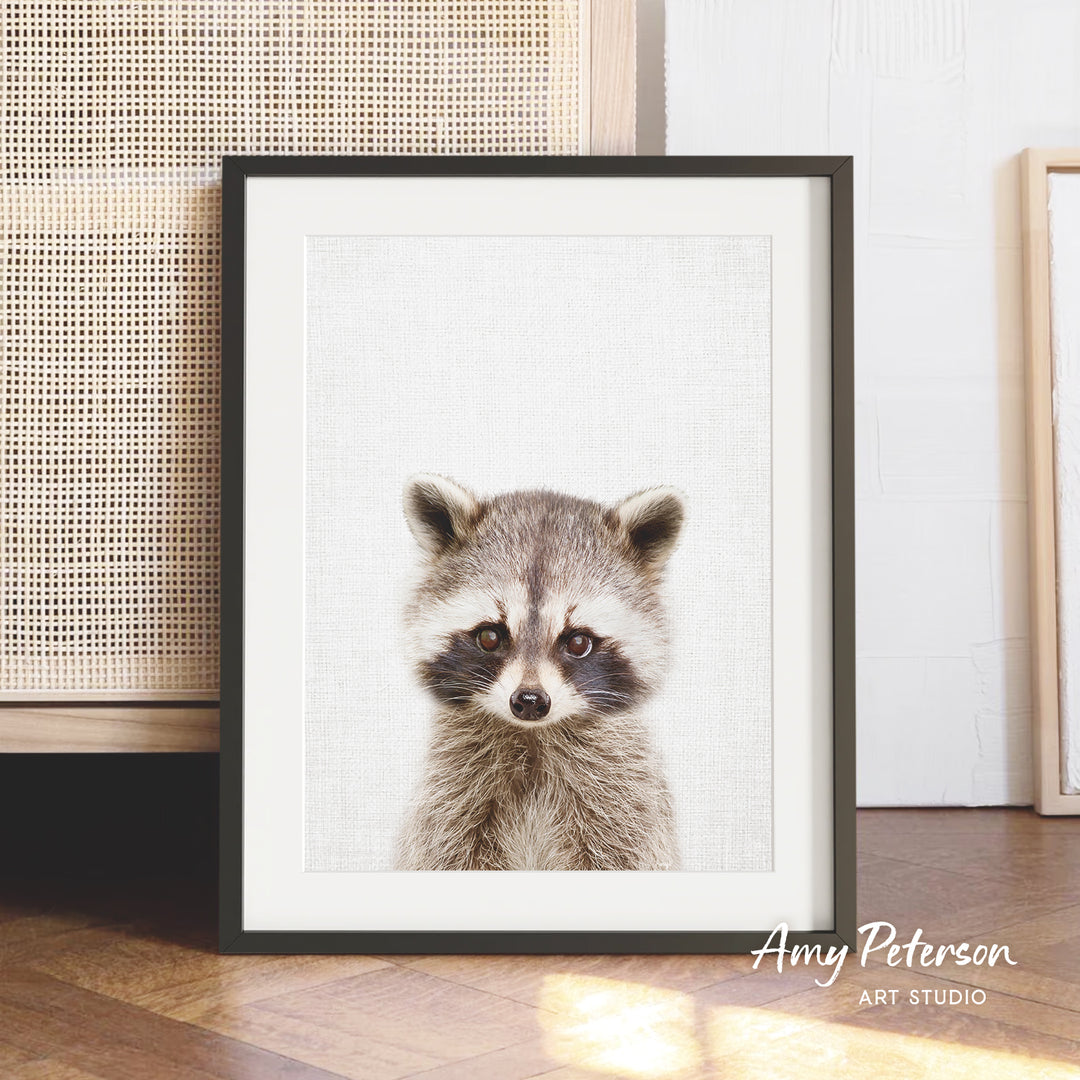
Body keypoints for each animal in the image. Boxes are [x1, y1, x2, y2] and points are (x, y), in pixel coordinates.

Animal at [396, 474, 685, 872]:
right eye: (489, 637)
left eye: (578, 642)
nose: (530, 700)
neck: (532, 738)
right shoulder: (448, 800)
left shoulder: (625, 804)